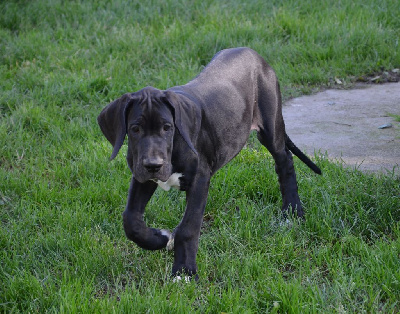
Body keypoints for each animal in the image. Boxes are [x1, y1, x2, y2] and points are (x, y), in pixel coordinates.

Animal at [97, 46, 322, 280]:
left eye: (167, 127)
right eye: (135, 129)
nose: (153, 164)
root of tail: (252, 52)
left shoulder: (199, 179)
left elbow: (188, 227)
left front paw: (184, 272)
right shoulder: (143, 176)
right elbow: (131, 220)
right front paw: (161, 238)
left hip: (271, 127)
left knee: (285, 160)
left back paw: (292, 211)